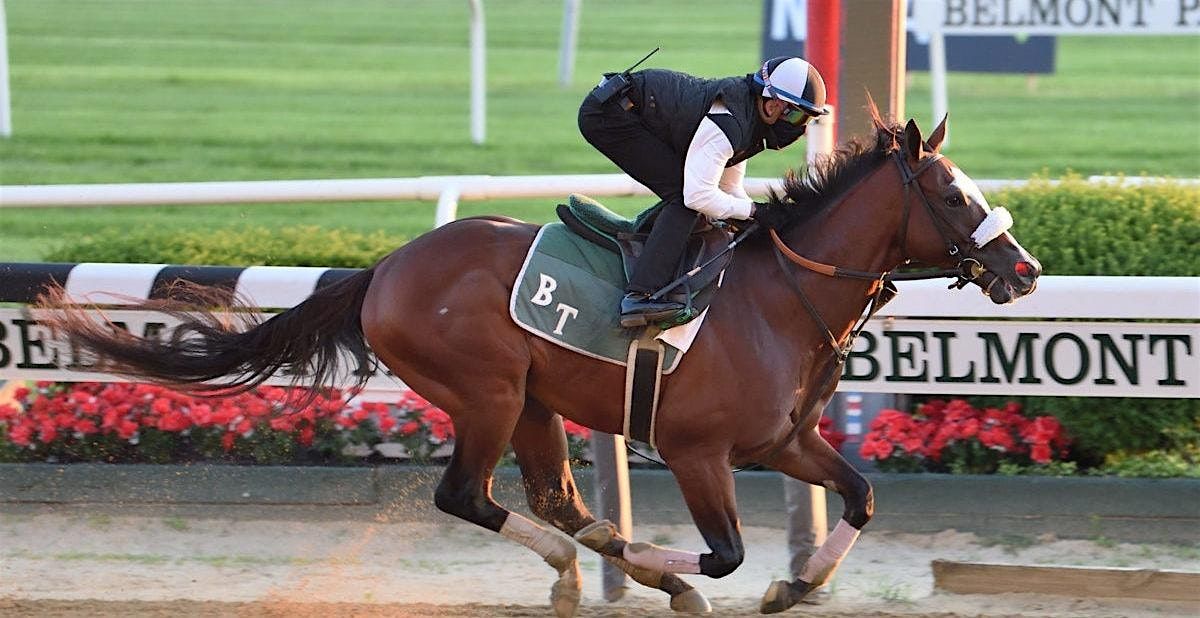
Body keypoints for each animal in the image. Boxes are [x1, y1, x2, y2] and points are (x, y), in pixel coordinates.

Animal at [42, 112, 1041, 618]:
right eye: (954, 194)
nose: (1024, 269)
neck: (781, 297)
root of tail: (386, 268)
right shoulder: (698, 451)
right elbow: (725, 554)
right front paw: (668, 564)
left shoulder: (783, 442)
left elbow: (861, 497)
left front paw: (793, 583)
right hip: (484, 392)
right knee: (469, 497)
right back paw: (595, 569)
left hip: (530, 398)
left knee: (551, 500)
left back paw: (593, 565)